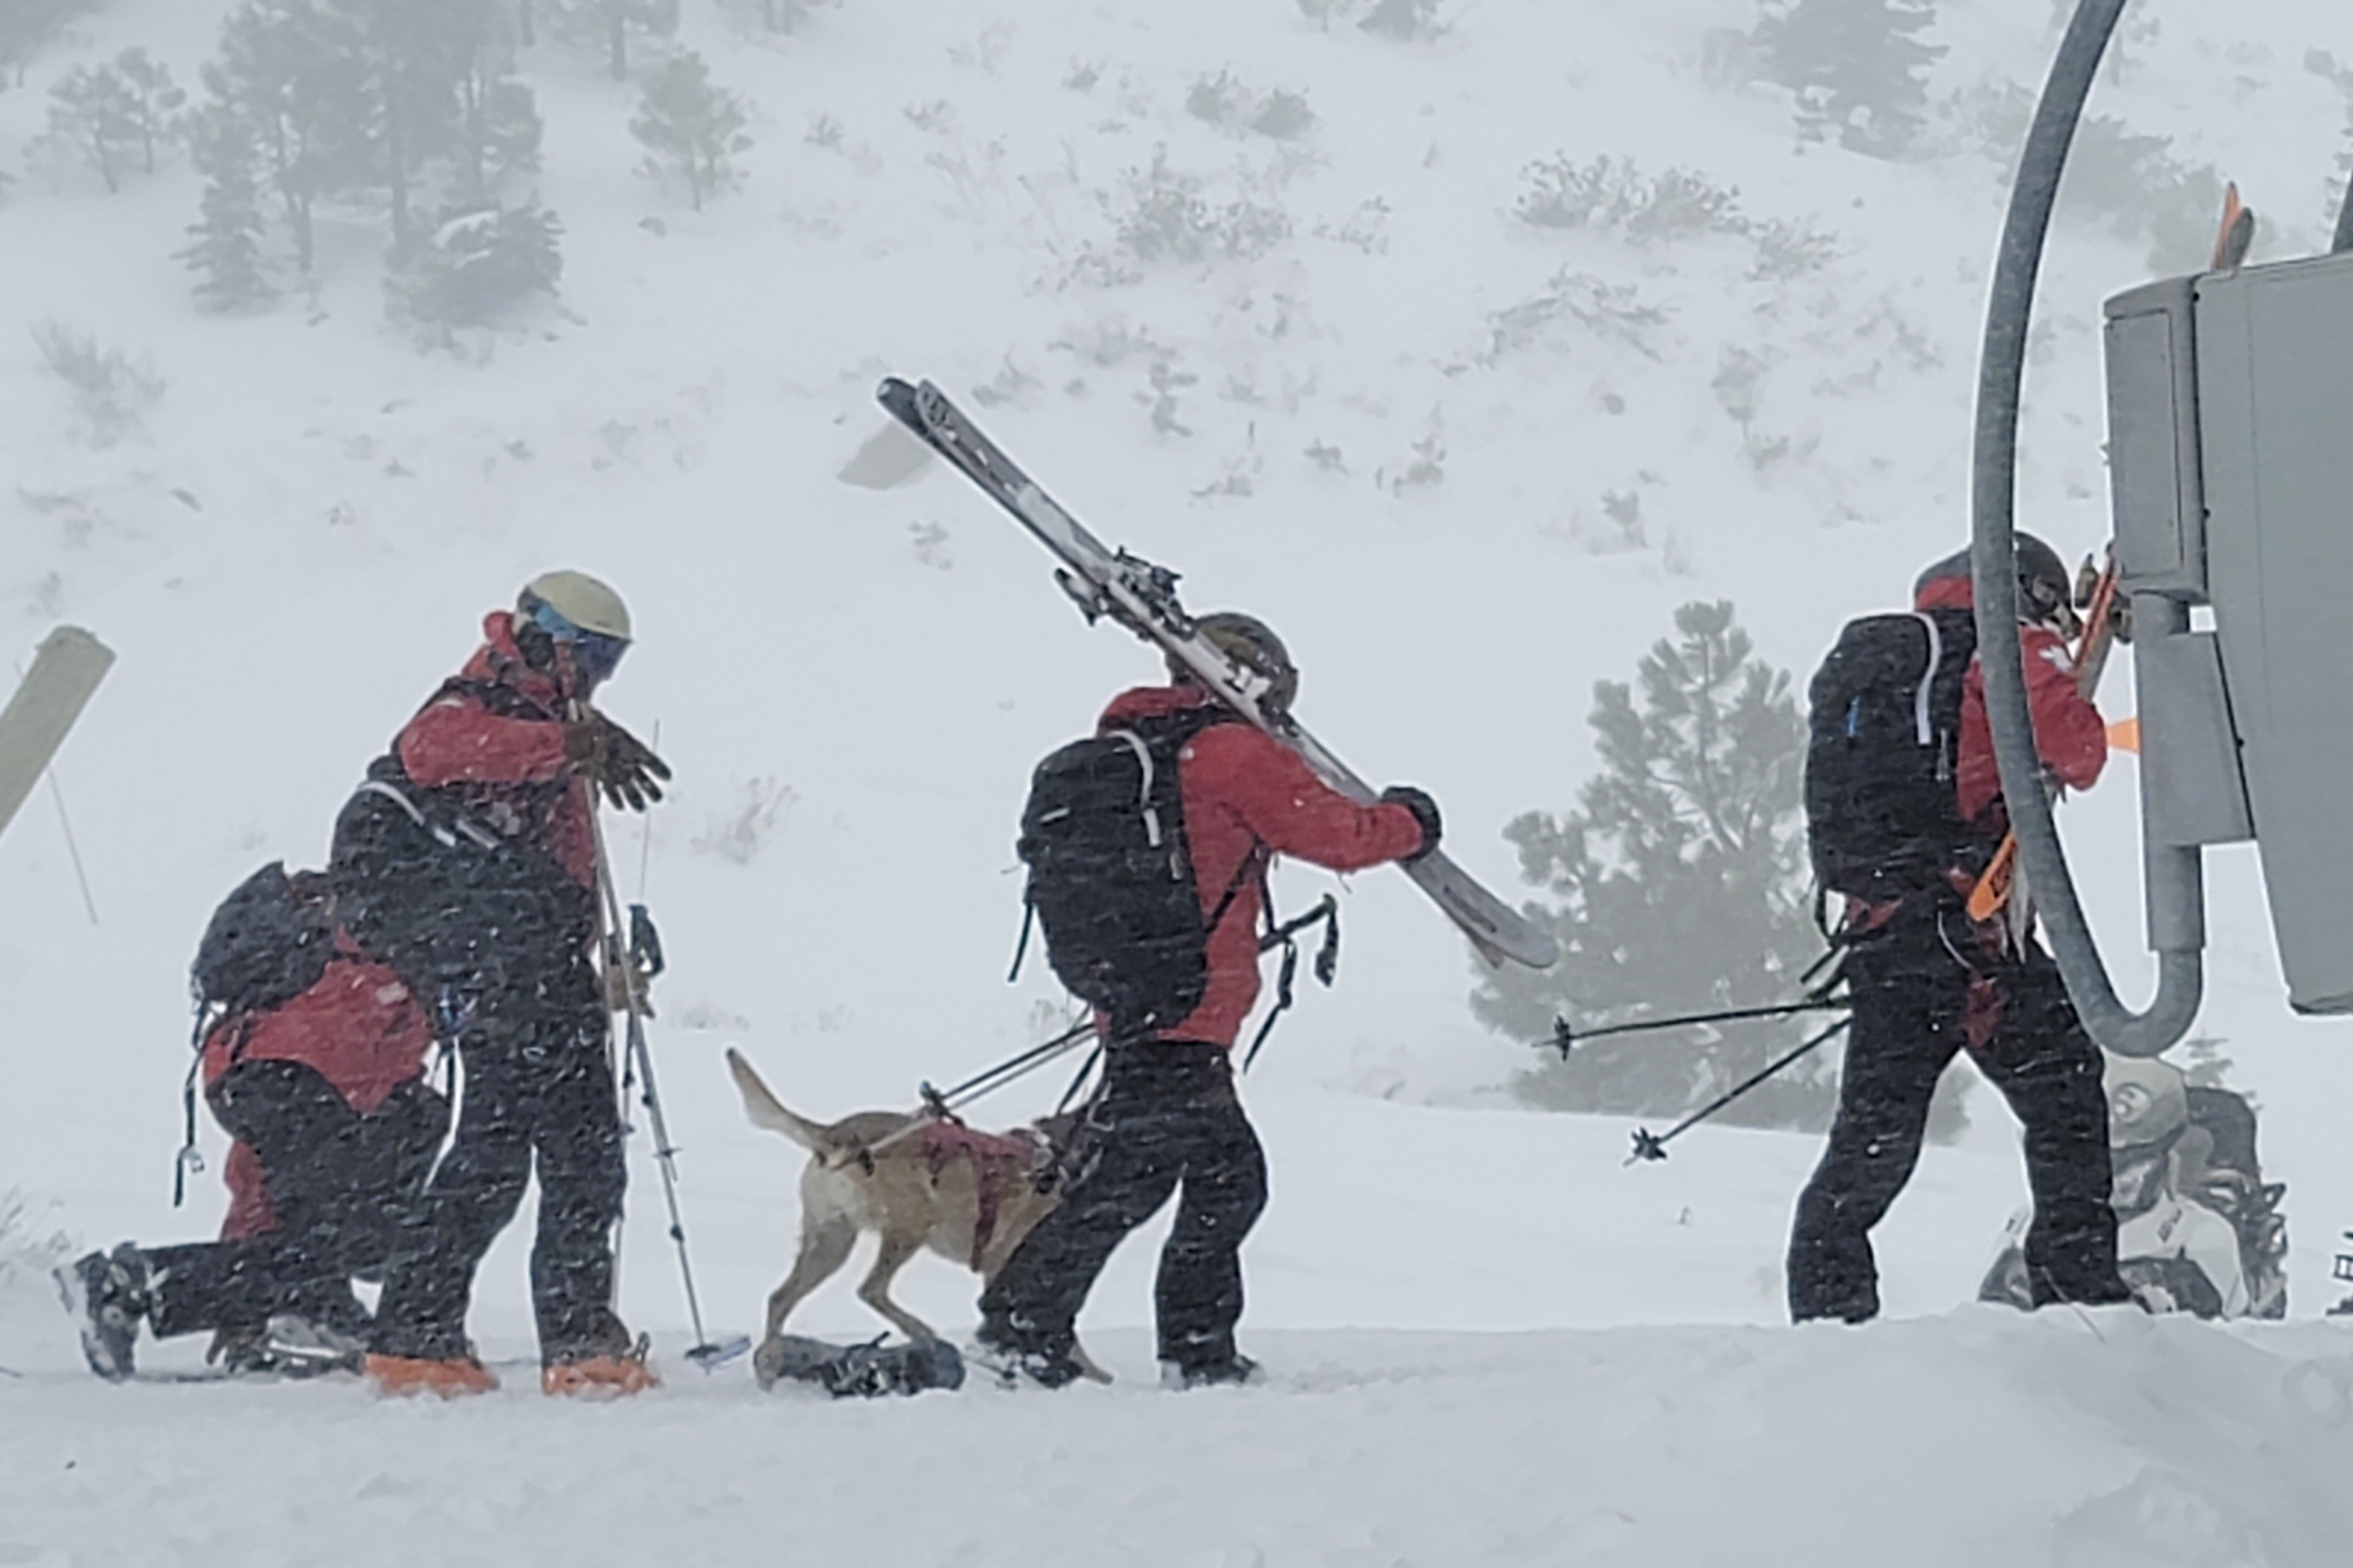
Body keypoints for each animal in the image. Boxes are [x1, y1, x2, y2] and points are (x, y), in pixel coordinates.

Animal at [720, 1045, 1106, 1384]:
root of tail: (836, 1134)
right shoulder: (1006, 1264)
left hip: (833, 1240)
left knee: (781, 1297)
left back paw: (769, 1365)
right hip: (912, 1224)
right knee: (870, 1289)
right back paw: (922, 1332)